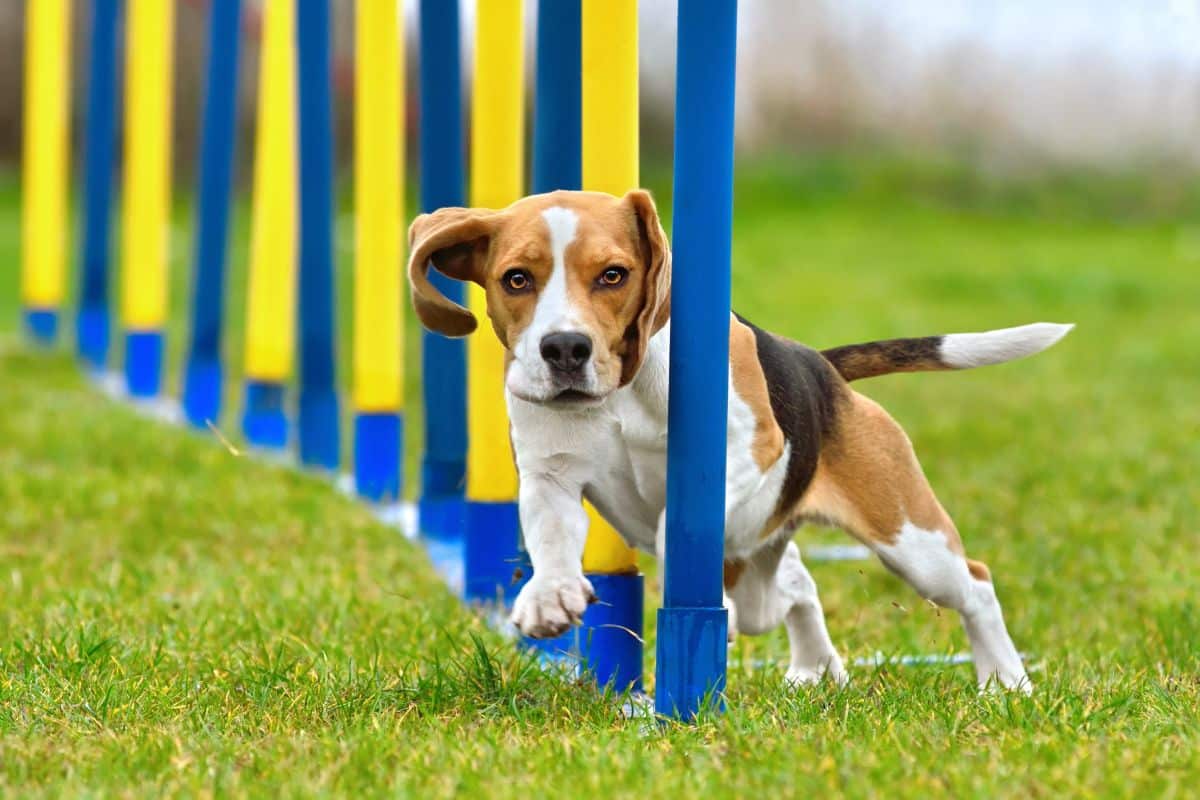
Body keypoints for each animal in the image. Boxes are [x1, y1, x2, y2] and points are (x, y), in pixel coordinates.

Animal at [410, 190, 1070, 690]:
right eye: (516, 279)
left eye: (613, 275)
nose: (565, 349)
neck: (620, 392)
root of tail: (822, 367)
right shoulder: (551, 476)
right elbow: (550, 537)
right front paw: (550, 596)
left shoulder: (745, 451)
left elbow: (676, 524)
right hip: (773, 566)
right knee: (796, 584)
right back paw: (814, 670)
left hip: (911, 539)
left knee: (974, 584)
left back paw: (1006, 682)